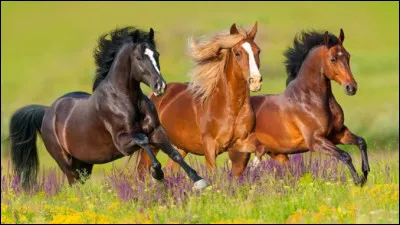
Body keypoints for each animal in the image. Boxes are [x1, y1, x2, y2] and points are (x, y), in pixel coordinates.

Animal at [8, 26, 209, 192]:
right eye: (139, 57)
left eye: (156, 54)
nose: (160, 86)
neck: (126, 101)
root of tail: (47, 112)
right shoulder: (123, 143)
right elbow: (144, 141)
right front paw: (157, 175)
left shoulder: (157, 131)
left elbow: (175, 154)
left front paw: (199, 181)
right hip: (66, 163)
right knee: (74, 185)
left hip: (84, 164)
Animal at [134, 22, 262, 178]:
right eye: (237, 53)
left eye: (258, 51)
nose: (256, 81)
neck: (231, 108)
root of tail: (152, 96)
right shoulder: (210, 147)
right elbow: (213, 173)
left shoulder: (242, 141)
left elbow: (258, 150)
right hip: (153, 144)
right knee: (142, 172)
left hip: (180, 147)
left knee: (170, 169)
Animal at [231, 28, 372, 186]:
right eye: (333, 59)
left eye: (348, 56)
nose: (351, 88)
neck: (310, 100)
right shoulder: (316, 141)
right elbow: (345, 155)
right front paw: (358, 180)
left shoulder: (338, 134)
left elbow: (361, 142)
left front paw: (365, 172)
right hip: (240, 154)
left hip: (277, 154)